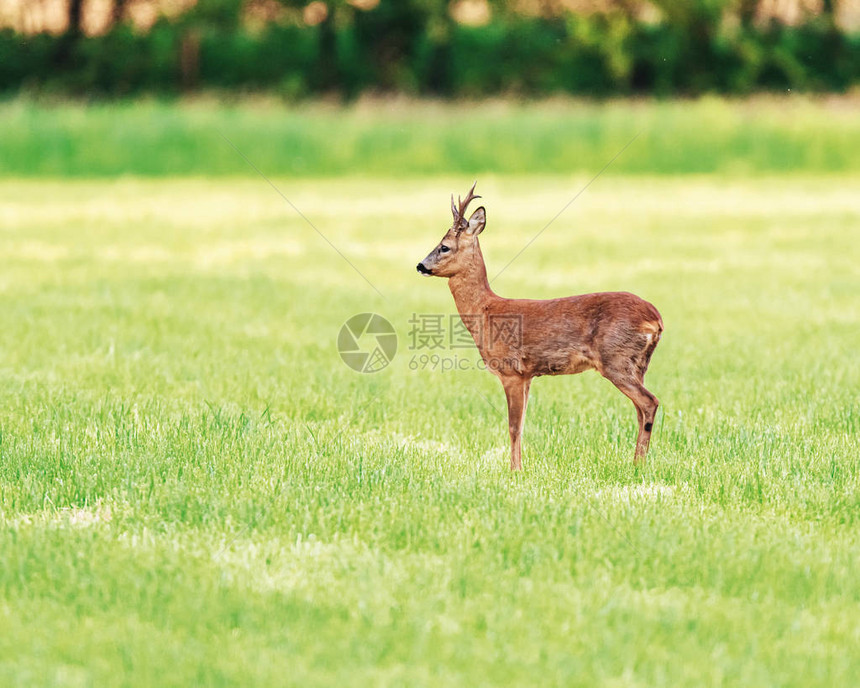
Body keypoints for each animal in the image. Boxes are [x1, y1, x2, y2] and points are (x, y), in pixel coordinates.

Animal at [416, 183, 664, 470]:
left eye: (444, 247)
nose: (420, 265)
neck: (485, 311)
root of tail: (656, 319)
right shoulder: (528, 375)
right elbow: (522, 425)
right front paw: (519, 467)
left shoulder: (511, 370)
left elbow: (513, 426)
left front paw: (514, 470)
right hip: (638, 364)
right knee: (640, 408)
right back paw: (637, 462)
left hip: (616, 358)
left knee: (649, 402)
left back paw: (638, 464)